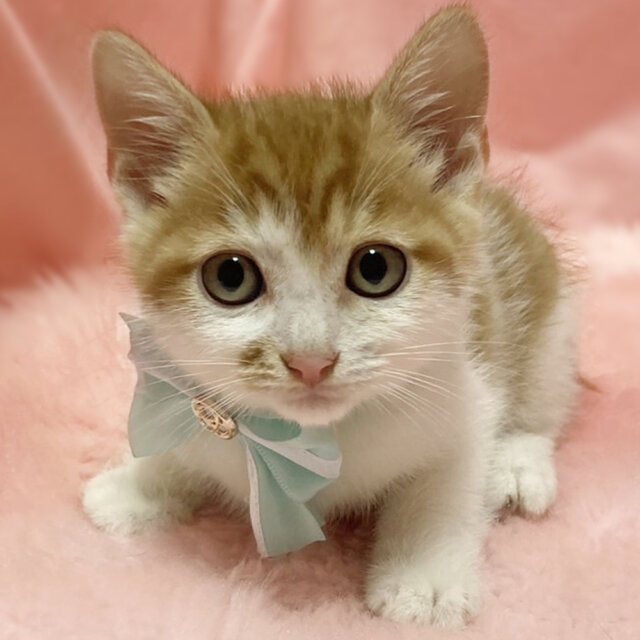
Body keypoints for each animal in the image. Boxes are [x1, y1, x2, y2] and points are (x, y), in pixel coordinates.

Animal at [83, 6, 578, 628]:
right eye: (230, 278)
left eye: (376, 268)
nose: (310, 360)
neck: (313, 440)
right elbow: (184, 439)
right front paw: (137, 485)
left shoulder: (463, 394)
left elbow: (448, 483)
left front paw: (426, 577)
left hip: (547, 316)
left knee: (543, 398)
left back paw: (519, 462)